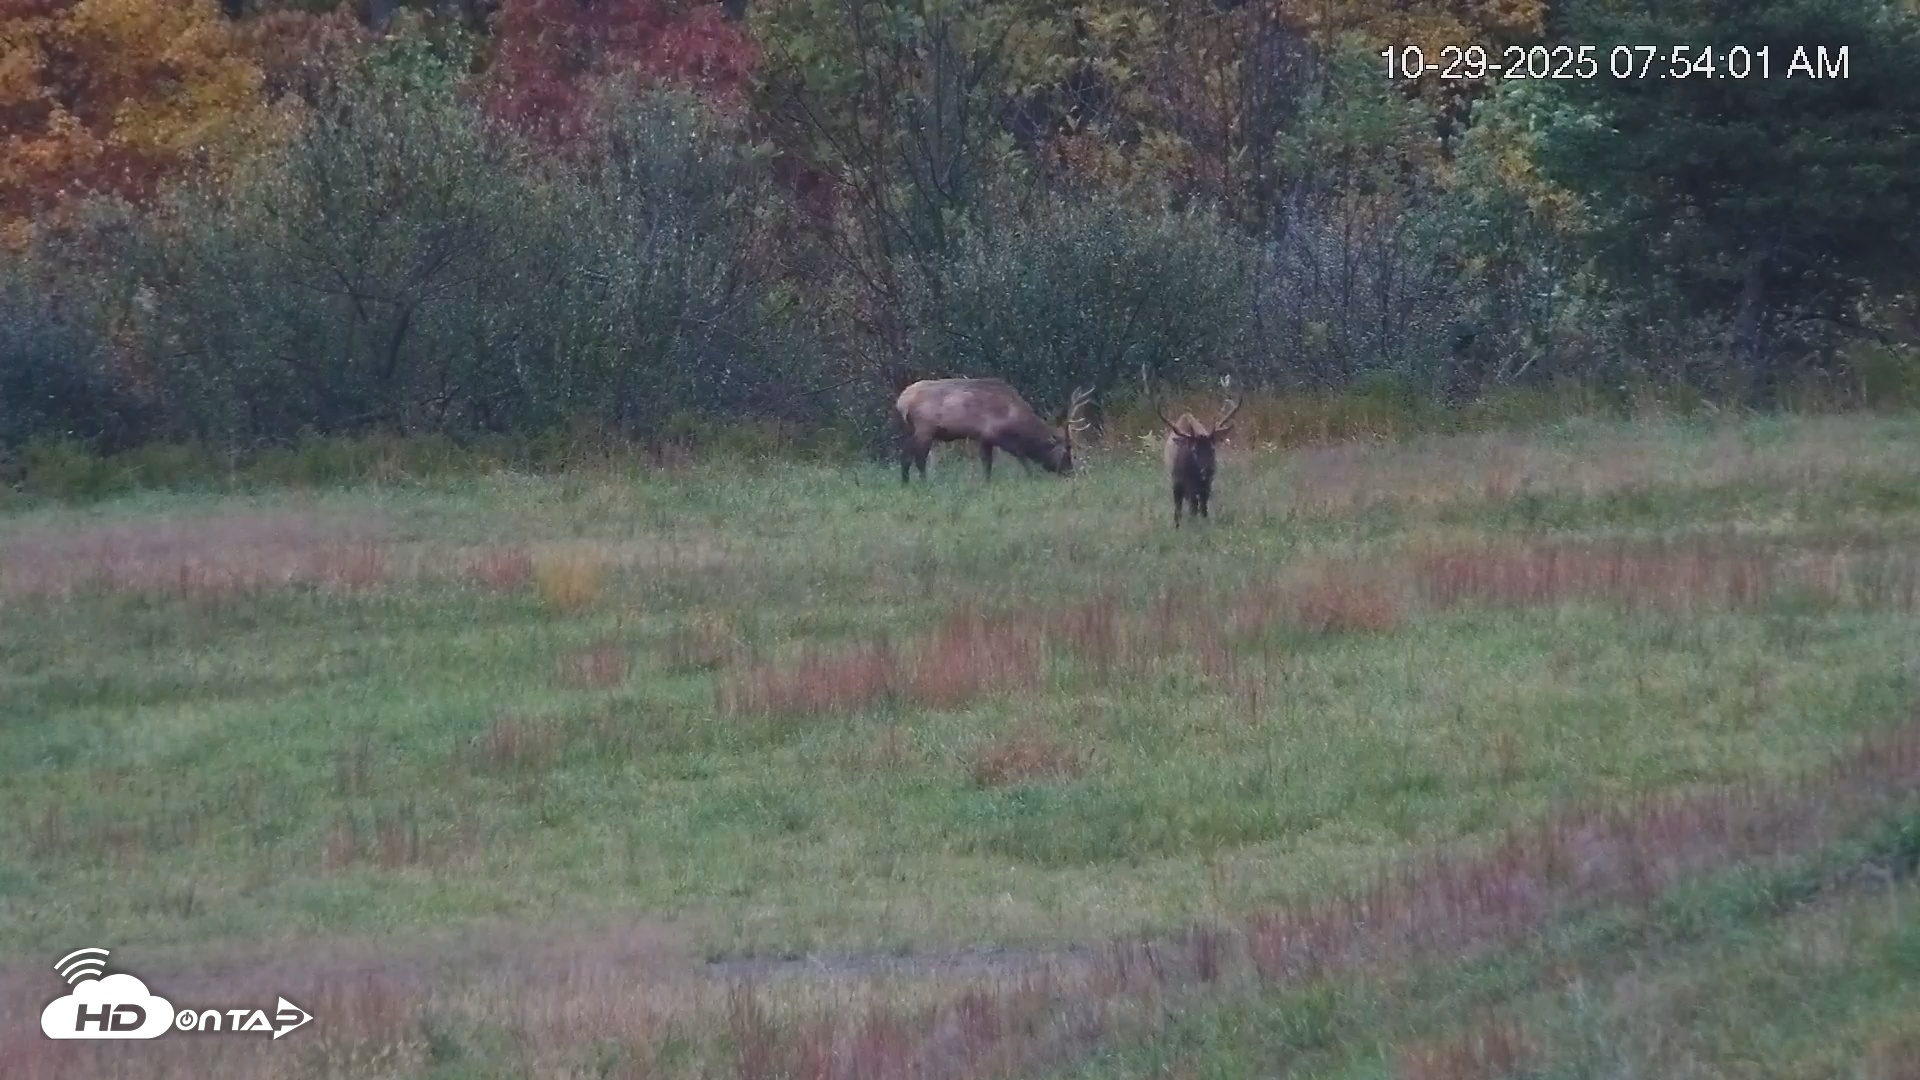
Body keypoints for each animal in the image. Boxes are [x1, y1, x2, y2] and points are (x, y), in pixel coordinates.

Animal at [895, 379, 1094, 485]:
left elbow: (987, 465)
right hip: (925, 428)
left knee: (905, 455)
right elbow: (1021, 457)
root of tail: (901, 401)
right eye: (1066, 452)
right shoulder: (995, 435)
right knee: (919, 458)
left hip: (912, 430)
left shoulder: (985, 439)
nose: (1070, 472)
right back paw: (924, 483)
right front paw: (1031, 478)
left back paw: (906, 484)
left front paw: (987, 483)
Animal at [1156, 397, 1240, 526]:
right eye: (1194, 450)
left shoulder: (1206, 485)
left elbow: (1203, 508)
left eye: (1213, 448)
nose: (1208, 469)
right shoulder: (1178, 483)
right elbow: (1182, 509)